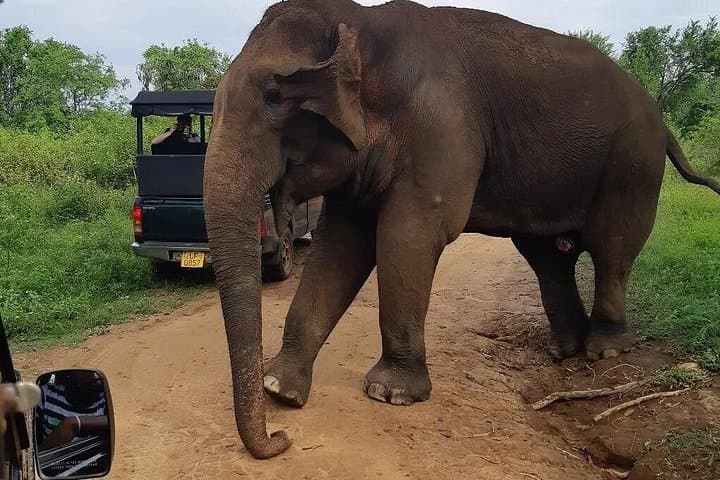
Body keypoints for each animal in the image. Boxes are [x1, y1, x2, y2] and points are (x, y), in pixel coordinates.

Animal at [203, 0, 720, 459]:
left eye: (274, 97)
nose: (280, 439)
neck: (362, 20)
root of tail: (665, 125)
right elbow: (341, 246)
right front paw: (281, 389)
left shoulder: (442, 125)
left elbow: (409, 234)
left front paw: (390, 394)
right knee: (548, 256)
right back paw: (564, 351)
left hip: (633, 164)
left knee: (613, 248)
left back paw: (605, 352)